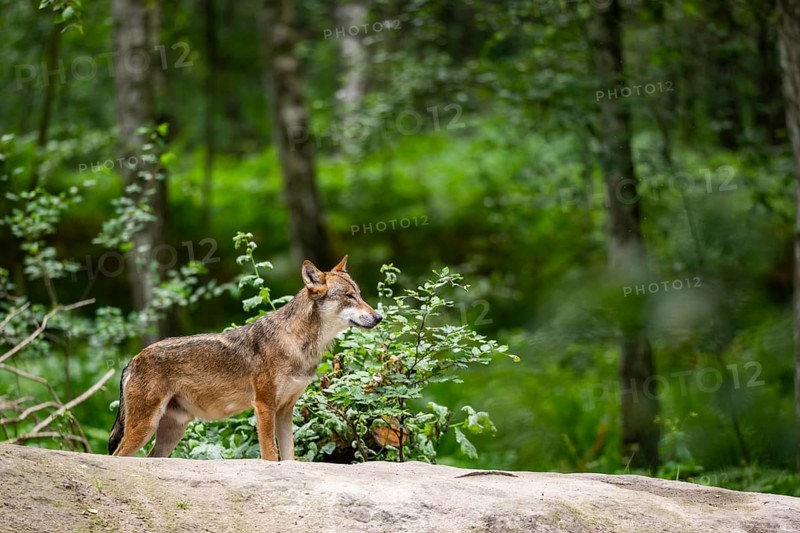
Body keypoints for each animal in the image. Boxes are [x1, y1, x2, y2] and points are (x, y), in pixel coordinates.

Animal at [108, 255, 382, 460]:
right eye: (349, 296)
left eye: (359, 294)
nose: (379, 317)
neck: (298, 344)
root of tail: (132, 360)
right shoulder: (264, 406)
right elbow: (270, 455)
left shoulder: (285, 410)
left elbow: (289, 457)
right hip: (144, 428)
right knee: (118, 456)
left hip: (172, 431)